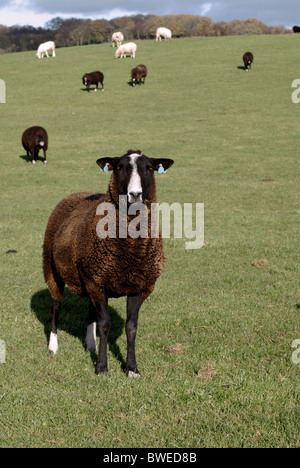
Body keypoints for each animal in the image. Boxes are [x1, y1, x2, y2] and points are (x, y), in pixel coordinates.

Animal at [42, 150, 173, 376]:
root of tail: (75, 194)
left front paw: (132, 368)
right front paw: (101, 367)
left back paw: (90, 343)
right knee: (56, 305)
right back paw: (53, 346)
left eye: (149, 168)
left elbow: (131, 327)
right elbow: (104, 325)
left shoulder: (136, 286)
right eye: (119, 167)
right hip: (52, 268)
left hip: (90, 276)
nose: (135, 194)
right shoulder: (98, 284)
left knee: (90, 309)